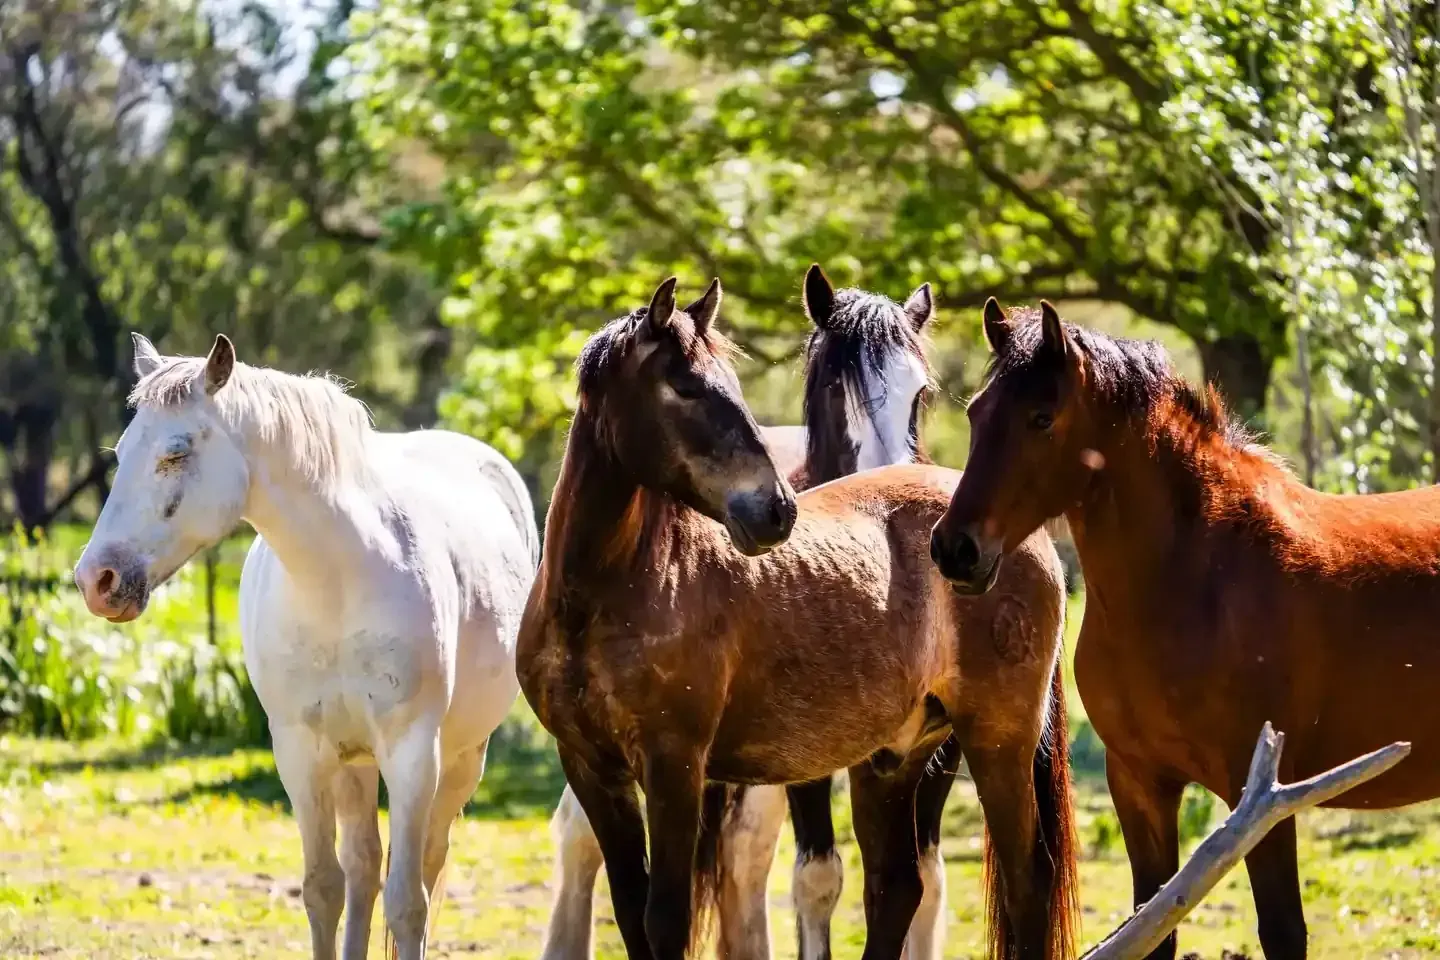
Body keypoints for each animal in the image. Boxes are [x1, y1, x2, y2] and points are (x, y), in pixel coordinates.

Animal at [73, 334, 537, 960]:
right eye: (121, 454)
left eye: (175, 454)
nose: (95, 579)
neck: (336, 580)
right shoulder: (300, 753)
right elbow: (323, 888)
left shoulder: (413, 753)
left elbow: (407, 902)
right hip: (353, 763)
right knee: (362, 867)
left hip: (460, 761)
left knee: (427, 864)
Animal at [517, 276, 1078, 960]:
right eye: (684, 386)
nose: (774, 510)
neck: (605, 593)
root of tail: (999, 533)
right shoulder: (592, 767)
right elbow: (630, 912)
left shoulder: (675, 766)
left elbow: (664, 919)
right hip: (896, 758)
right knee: (895, 889)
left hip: (996, 742)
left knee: (1024, 882)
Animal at [930, 299, 1440, 960]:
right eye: (976, 411)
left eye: (1042, 418)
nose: (955, 549)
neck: (1200, 576)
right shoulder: (1139, 785)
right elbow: (1152, 927)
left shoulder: (1262, 799)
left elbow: (1283, 931)